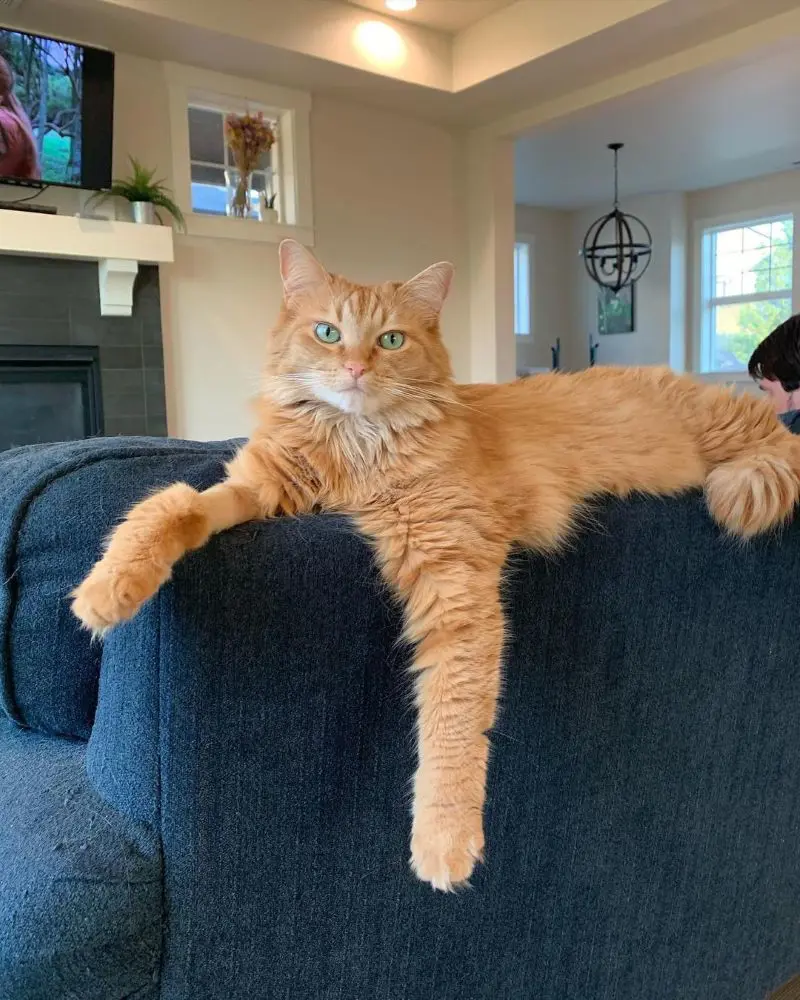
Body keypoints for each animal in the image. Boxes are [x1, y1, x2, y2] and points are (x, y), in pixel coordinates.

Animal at [72, 239, 800, 892]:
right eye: (328, 333)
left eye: (390, 340)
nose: (356, 368)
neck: (357, 453)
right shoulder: (260, 490)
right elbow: (171, 507)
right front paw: (110, 588)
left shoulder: (455, 580)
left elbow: (452, 725)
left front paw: (443, 841)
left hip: (731, 435)